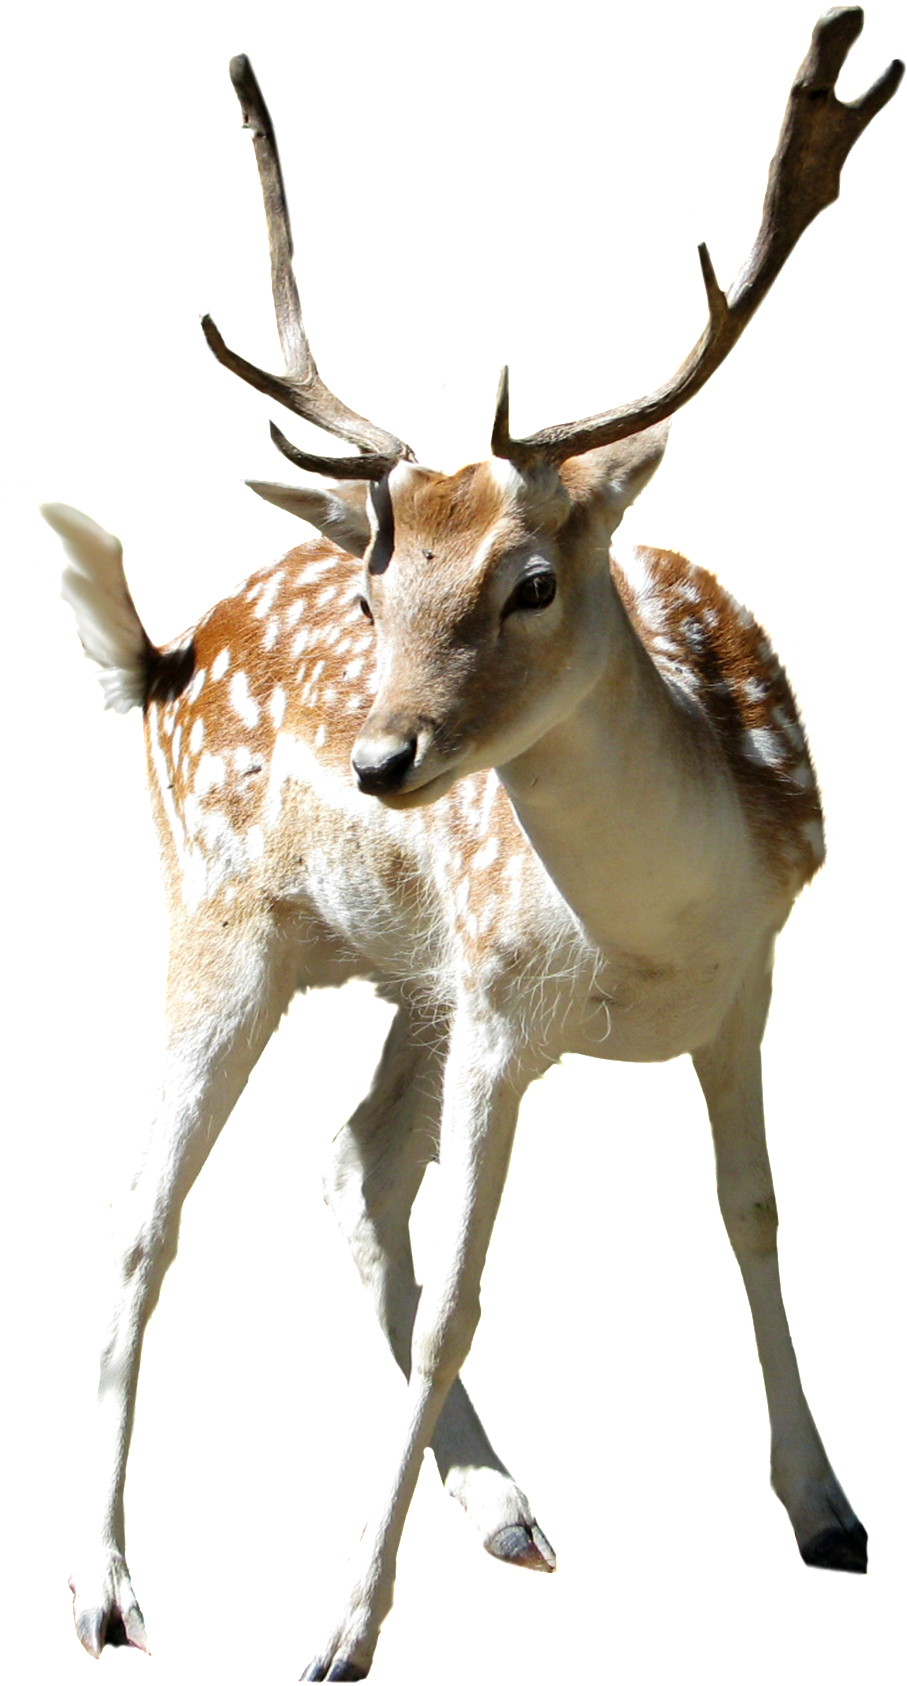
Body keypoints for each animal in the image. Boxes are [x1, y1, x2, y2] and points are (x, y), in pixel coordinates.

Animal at [9, 5, 901, 1679]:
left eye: (530, 579)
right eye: (373, 593)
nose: (381, 758)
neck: (645, 935)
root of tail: (158, 656)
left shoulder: (743, 982)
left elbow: (748, 1214)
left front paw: (825, 1514)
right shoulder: (502, 1004)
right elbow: (454, 1297)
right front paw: (342, 1630)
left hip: (412, 975)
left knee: (350, 1161)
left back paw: (503, 1510)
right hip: (226, 928)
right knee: (146, 1206)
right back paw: (106, 1595)